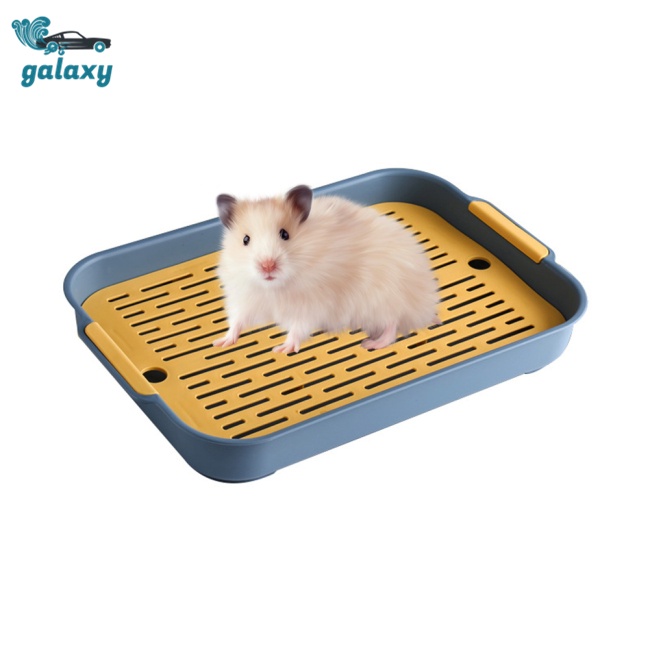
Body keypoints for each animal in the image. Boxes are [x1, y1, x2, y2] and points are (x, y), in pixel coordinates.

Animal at [213, 185, 440, 354]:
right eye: (245, 239)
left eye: (285, 234)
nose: (267, 265)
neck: (275, 287)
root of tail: (425, 303)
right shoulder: (245, 298)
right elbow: (237, 321)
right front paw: (221, 342)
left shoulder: (311, 304)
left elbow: (298, 328)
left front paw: (282, 349)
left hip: (383, 298)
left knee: (392, 325)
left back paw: (370, 344)